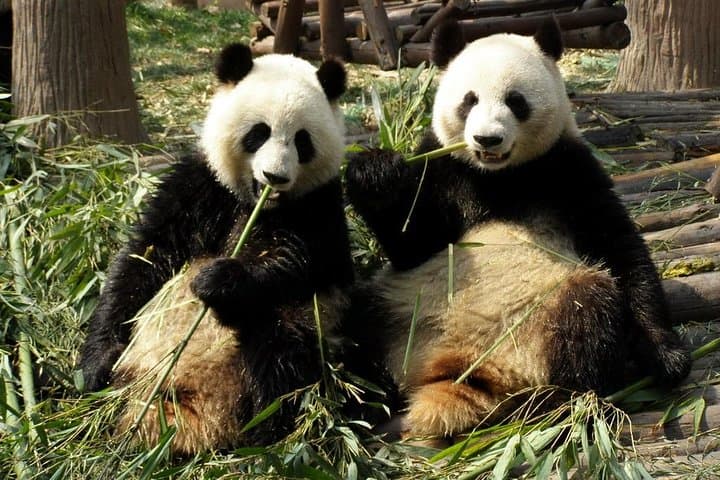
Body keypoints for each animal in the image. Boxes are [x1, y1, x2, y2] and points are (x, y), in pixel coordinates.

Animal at [78, 43, 354, 454]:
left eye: (302, 140)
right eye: (259, 132)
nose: (274, 177)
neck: (256, 204)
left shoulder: (317, 206)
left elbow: (296, 260)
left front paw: (216, 281)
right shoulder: (201, 183)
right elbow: (144, 257)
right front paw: (97, 365)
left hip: (298, 334)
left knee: (282, 353)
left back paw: (264, 427)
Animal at [344, 19, 691, 442]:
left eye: (515, 101)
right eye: (469, 100)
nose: (487, 139)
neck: (499, 177)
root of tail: (465, 370)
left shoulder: (568, 169)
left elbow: (620, 248)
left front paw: (667, 357)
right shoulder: (444, 171)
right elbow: (414, 242)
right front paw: (375, 172)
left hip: (544, 318)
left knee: (588, 311)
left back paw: (556, 404)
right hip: (399, 308)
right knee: (353, 329)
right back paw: (359, 402)